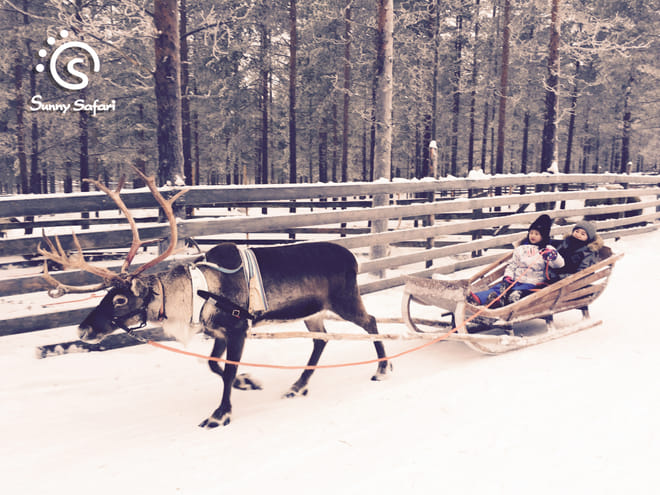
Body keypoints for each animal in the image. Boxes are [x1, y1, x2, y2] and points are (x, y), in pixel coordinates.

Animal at [39, 168, 390, 428]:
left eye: (120, 300)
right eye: (106, 294)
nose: (83, 329)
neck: (195, 296)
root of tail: (354, 259)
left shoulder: (237, 329)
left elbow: (228, 369)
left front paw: (220, 414)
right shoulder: (217, 331)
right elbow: (213, 365)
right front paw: (249, 382)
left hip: (345, 300)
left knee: (371, 322)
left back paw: (382, 369)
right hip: (312, 311)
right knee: (321, 339)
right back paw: (298, 385)